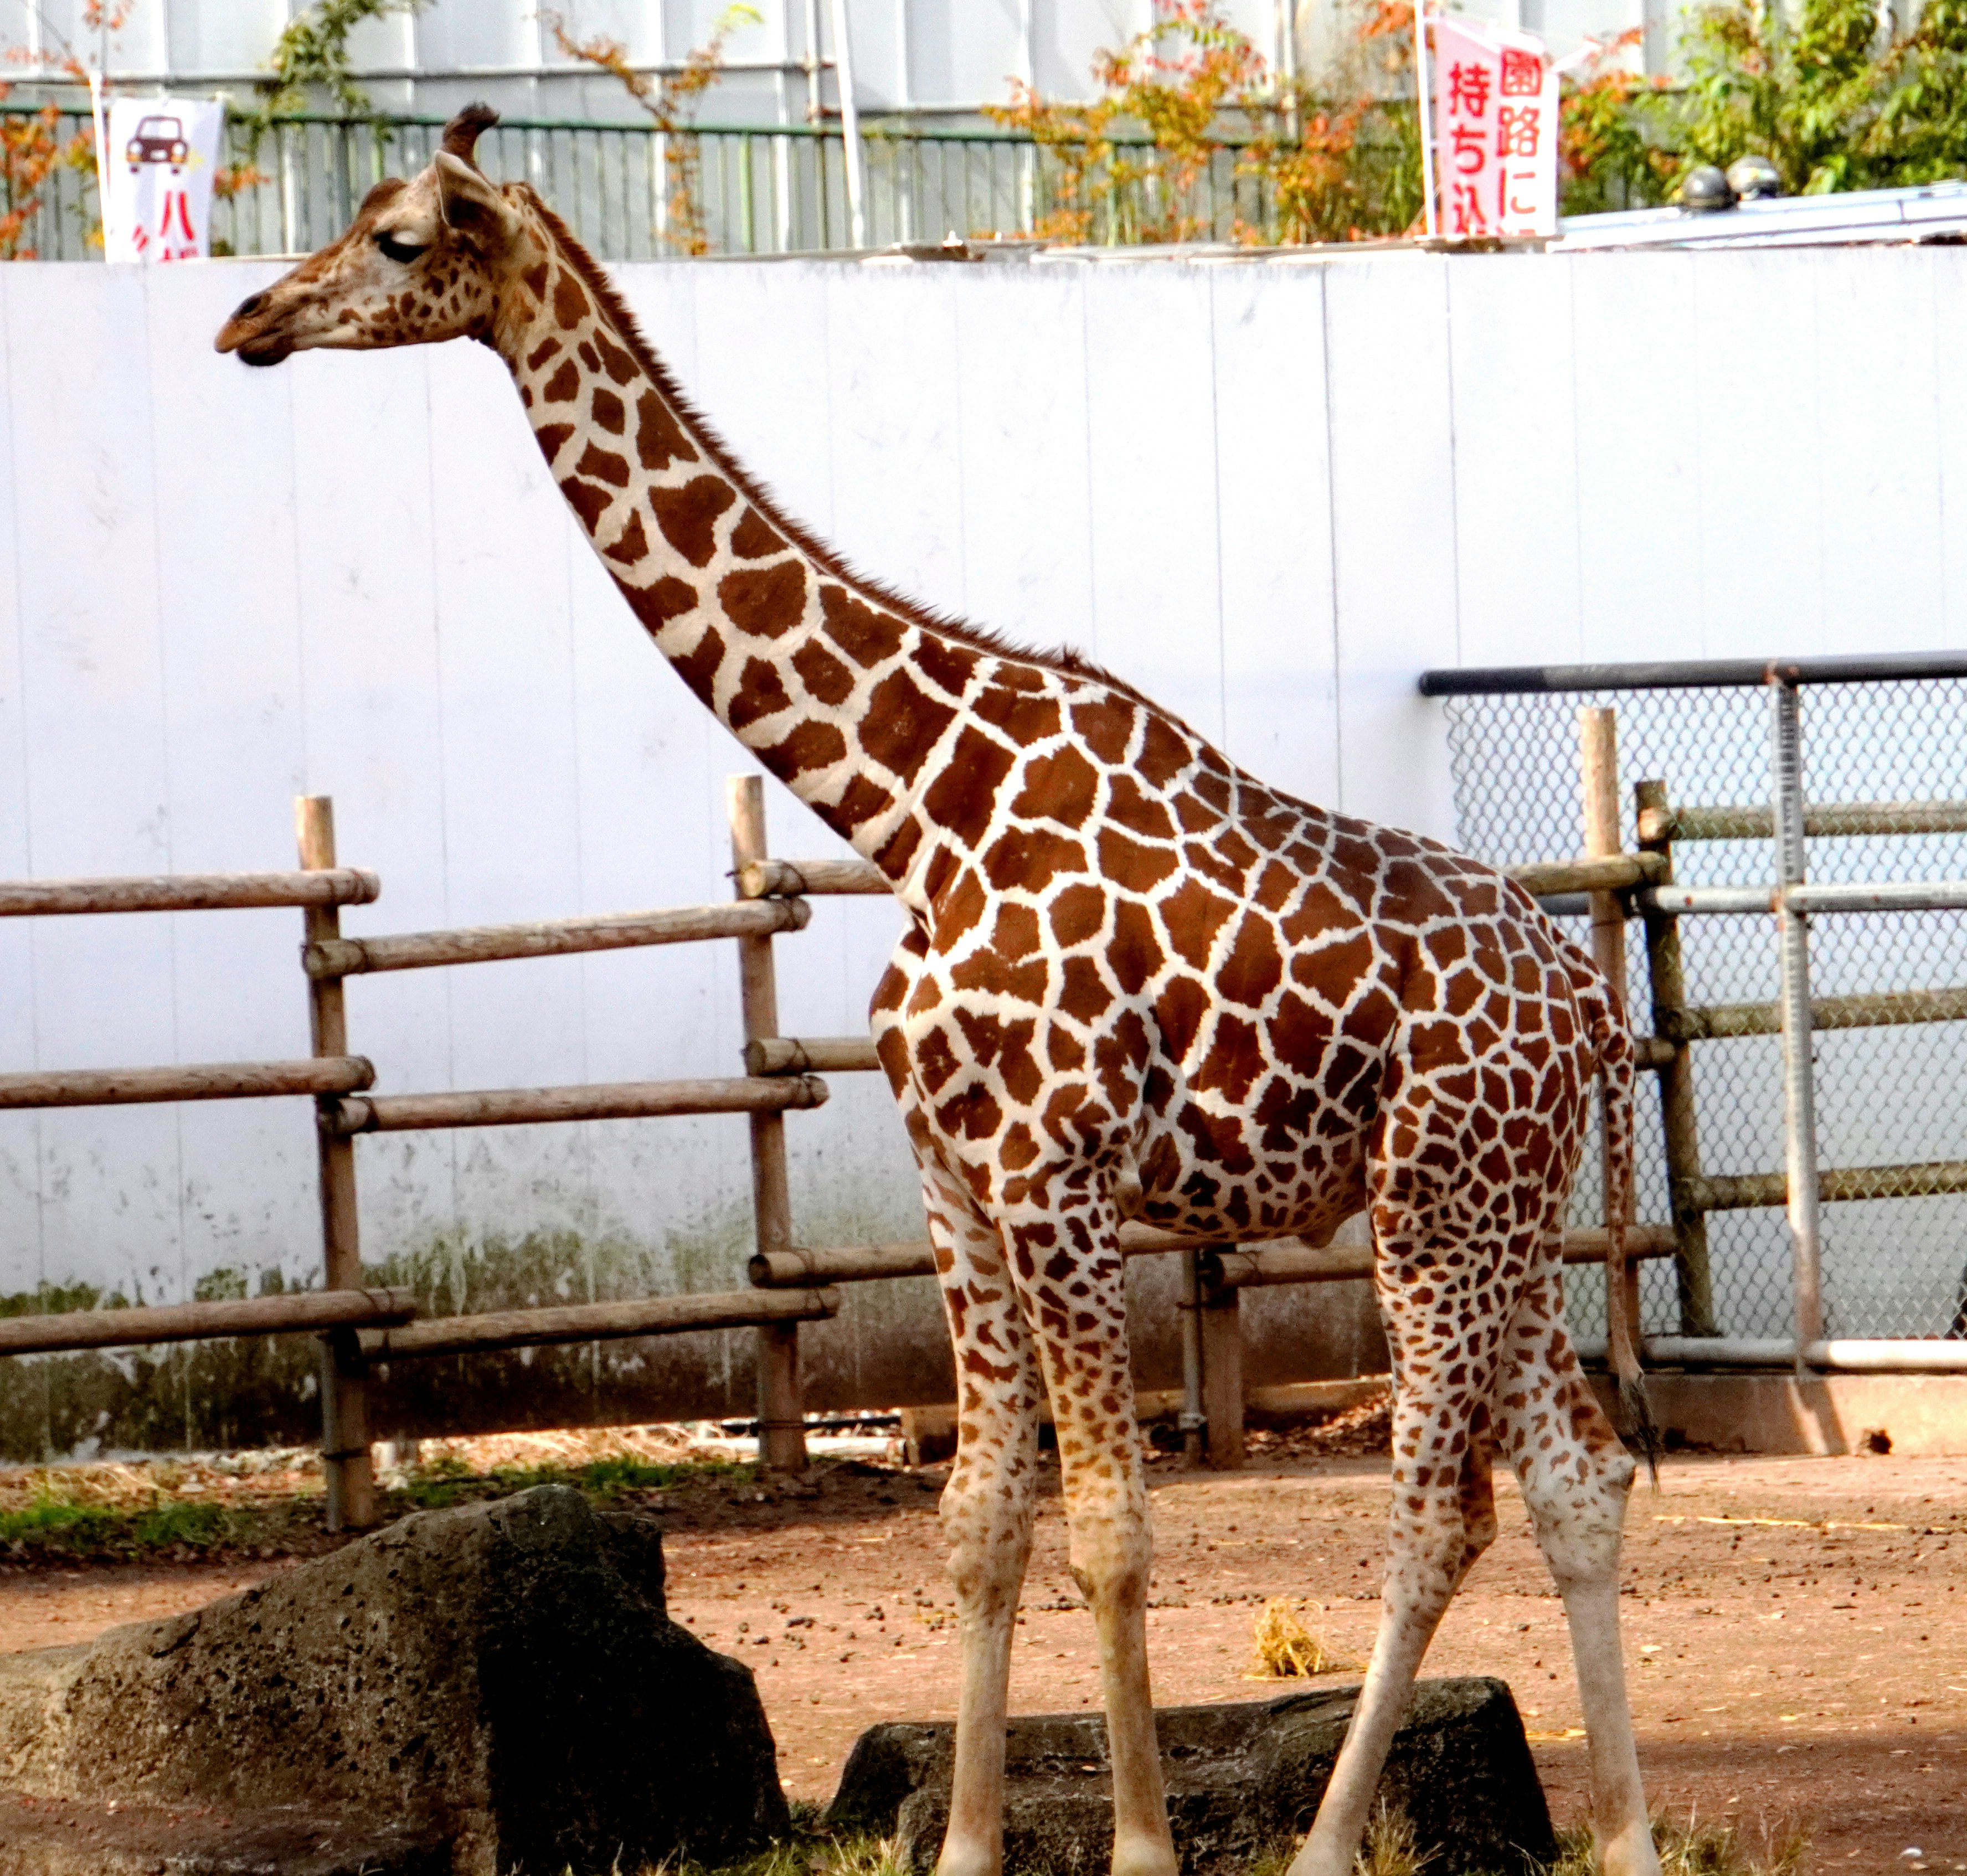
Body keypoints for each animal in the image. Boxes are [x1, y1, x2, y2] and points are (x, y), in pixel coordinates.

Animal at [216, 106, 1662, 1876]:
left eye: (402, 239)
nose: (248, 323)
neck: (914, 803)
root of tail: (1590, 1007)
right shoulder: (954, 1181)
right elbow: (979, 1524)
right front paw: (969, 1843)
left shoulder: (1056, 1174)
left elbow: (1108, 1527)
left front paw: (1141, 1848)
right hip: (1500, 1210)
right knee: (1576, 1476)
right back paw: (1631, 1840)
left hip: (1434, 1211)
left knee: (1437, 1504)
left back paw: (1329, 1846)